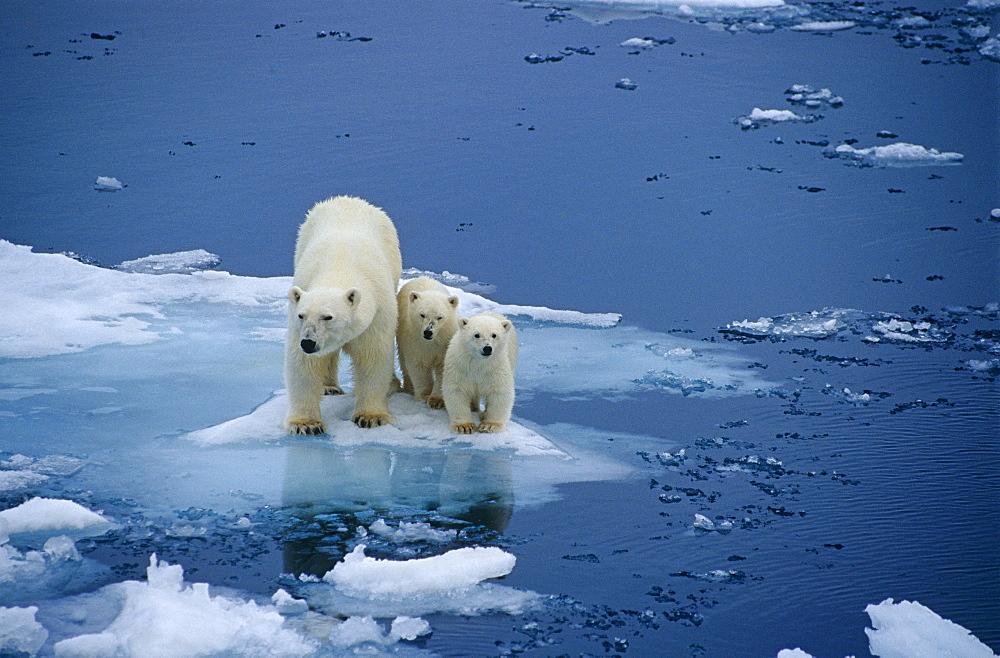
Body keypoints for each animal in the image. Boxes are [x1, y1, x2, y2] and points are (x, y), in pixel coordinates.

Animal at [284, 192, 400, 434]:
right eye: (302, 315)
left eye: (328, 317)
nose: (308, 342)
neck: (339, 270)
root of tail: (348, 198)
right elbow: (303, 363)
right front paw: (306, 424)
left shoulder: (377, 314)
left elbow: (373, 357)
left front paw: (370, 417)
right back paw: (329, 387)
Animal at [398, 274, 460, 408]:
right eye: (422, 315)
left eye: (440, 317)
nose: (428, 332)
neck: (433, 342)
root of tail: (422, 277)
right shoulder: (414, 340)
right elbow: (418, 366)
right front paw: (425, 395)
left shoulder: (444, 343)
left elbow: (443, 367)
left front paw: (436, 401)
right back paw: (409, 388)